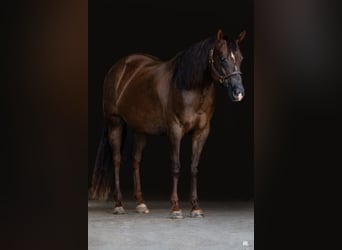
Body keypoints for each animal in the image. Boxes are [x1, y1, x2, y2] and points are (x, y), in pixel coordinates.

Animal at [90, 28, 246, 218]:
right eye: (222, 58)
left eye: (240, 58)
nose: (238, 92)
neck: (188, 86)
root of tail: (119, 67)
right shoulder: (175, 130)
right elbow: (176, 166)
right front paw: (176, 208)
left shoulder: (201, 132)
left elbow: (194, 168)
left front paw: (195, 208)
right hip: (115, 123)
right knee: (117, 160)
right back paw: (119, 205)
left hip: (142, 130)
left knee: (135, 160)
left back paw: (141, 204)